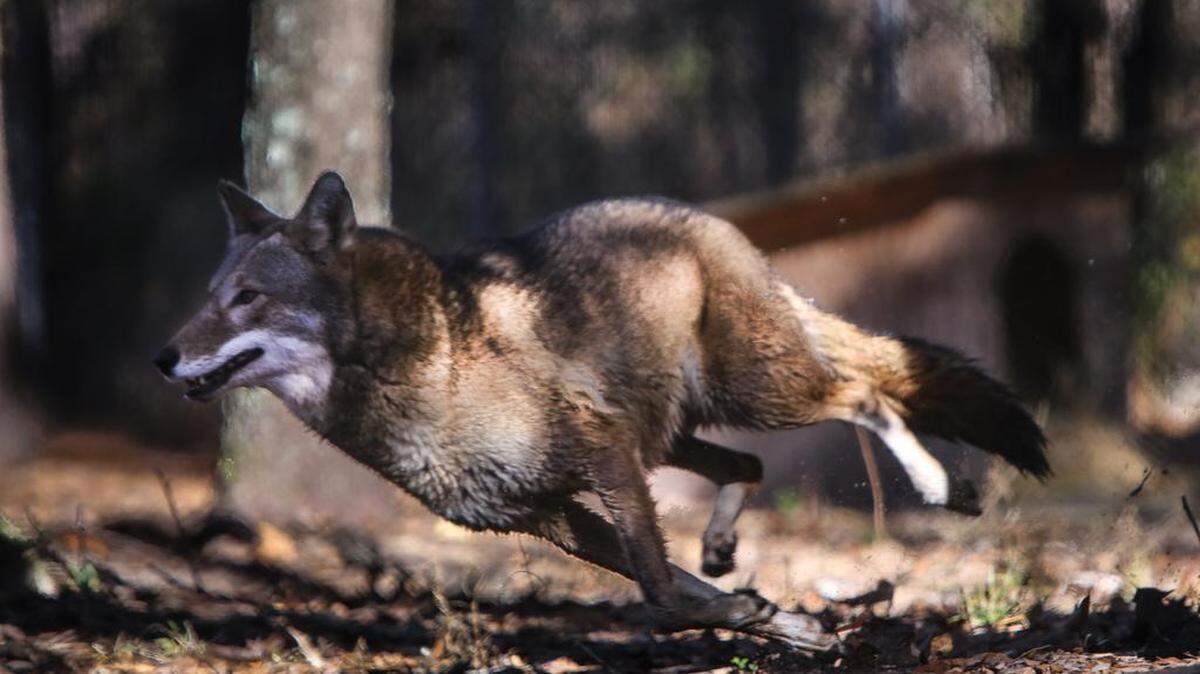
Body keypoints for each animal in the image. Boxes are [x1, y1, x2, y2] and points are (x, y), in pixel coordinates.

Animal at [155, 172, 1049, 650]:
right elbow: (676, 586)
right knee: (750, 463)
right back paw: (725, 545)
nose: (163, 358)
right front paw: (780, 622)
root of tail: (700, 218)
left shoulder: (601, 461)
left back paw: (942, 488)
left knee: (866, 394)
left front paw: (757, 615)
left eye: (247, 298)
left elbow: (661, 590)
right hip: (674, 437)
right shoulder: (550, 515)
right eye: (210, 296)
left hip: (753, 395)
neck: (426, 368)